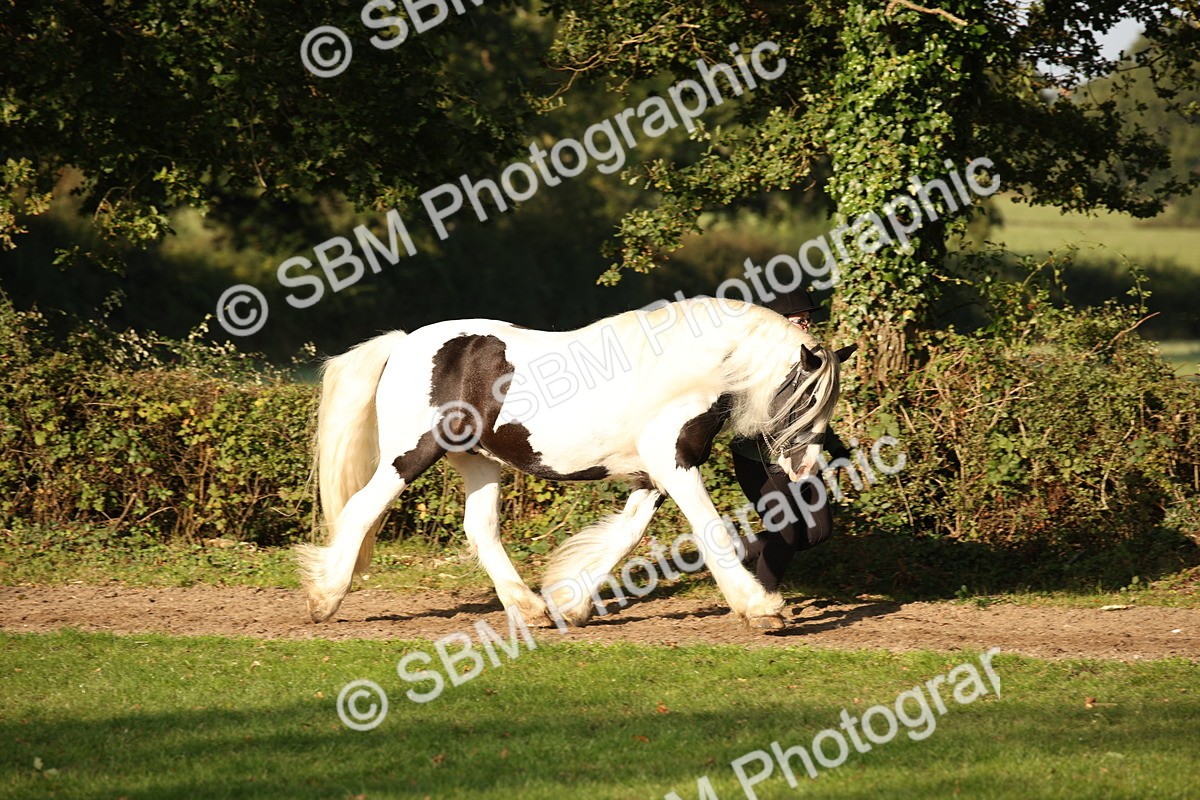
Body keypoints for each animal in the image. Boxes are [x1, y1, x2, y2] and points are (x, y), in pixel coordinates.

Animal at [297, 296, 852, 630]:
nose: (806, 471)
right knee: (361, 511)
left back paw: (532, 610)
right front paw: (761, 609)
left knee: (481, 530)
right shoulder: (673, 465)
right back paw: (324, 599)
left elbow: (624, 537)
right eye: (807, 397)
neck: (687, 373)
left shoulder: (652, 476)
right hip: (409, 454)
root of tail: (404, 343)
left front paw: (572, 604)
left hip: (478, 462)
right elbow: (709, 529)